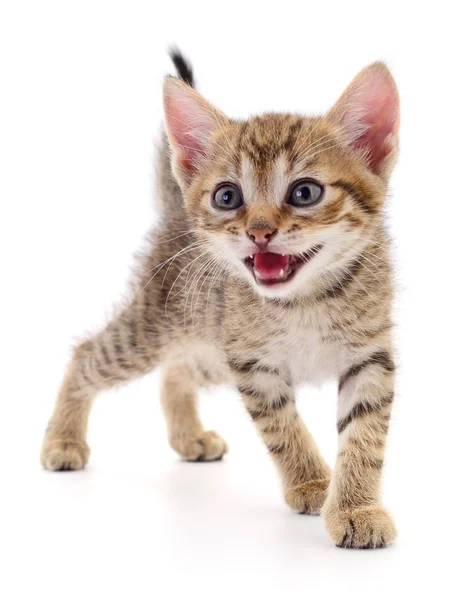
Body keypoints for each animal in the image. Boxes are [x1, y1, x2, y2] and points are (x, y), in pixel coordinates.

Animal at [41, 50, 400, 548]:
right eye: (227, 197)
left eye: (305, 192)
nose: (259, 232)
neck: (304, 302)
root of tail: (176, 212)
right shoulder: (253, 364)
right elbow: (283, 427)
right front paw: (311, 482)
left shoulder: (369, 357)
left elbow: (365, 436)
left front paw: (356, 506)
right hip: (159, 327)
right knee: (87, 353)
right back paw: (63, 439)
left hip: (210, 346)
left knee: (175, 373)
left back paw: (188, 437)